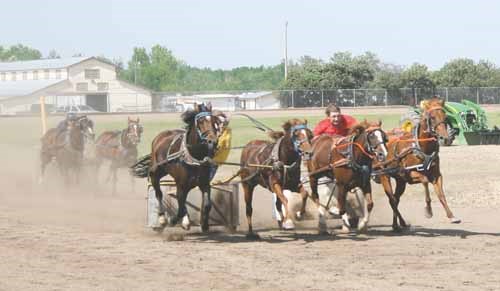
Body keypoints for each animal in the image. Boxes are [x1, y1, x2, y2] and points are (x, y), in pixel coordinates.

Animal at [132, 102, 220, 233]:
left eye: (215, 121)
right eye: (201, 121)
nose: (213, 141)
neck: (193, 156)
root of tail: (160, 137)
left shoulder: (204, 183)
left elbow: (207, 204)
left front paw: (204, 224)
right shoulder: (181, 184)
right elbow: (180, 205)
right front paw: (174, 220)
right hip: (155, 173)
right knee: (159, 193)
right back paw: (162, 219)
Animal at [376, 98, 460, 233]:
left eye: (445, 116)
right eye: (432, 117)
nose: (445, 138)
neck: (422, 148)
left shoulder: (436, 175)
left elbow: (441, 195)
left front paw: (451, 216)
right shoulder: (411, 174)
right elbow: (425, 181)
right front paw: (429, 211)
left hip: (400, 181)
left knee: (396, 199)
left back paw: (396, 225)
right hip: (385, 176)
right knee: (392, 200)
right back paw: (401, 223)